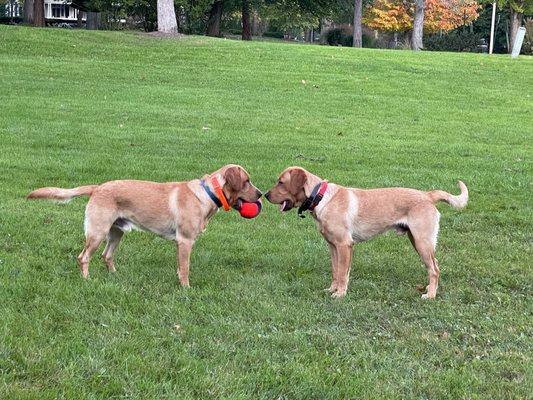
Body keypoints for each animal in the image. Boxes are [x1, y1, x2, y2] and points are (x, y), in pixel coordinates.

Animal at [28, 163, 260, 284]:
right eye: (247, 181)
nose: (260, 194)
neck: (208, 193)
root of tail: (98, 187)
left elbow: (180, 267)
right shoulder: (185, 241)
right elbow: (185, 268)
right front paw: (186, 289)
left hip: (116, 233)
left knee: (106, 255)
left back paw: (115, 276)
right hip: (98, 232)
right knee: (83, 257)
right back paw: (86, 280)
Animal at [264, 167, 468, 298]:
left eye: (281, 182)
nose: (264, 195)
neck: (322, 198)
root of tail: (427, 195)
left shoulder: (345, 245)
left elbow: (342, 273)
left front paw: (340, 294)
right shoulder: (333, 246)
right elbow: (336, 271)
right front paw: (332, 290)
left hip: (422, 243)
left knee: (434, 269)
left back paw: (431, 295)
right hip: (417, 241)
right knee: (435, 267)